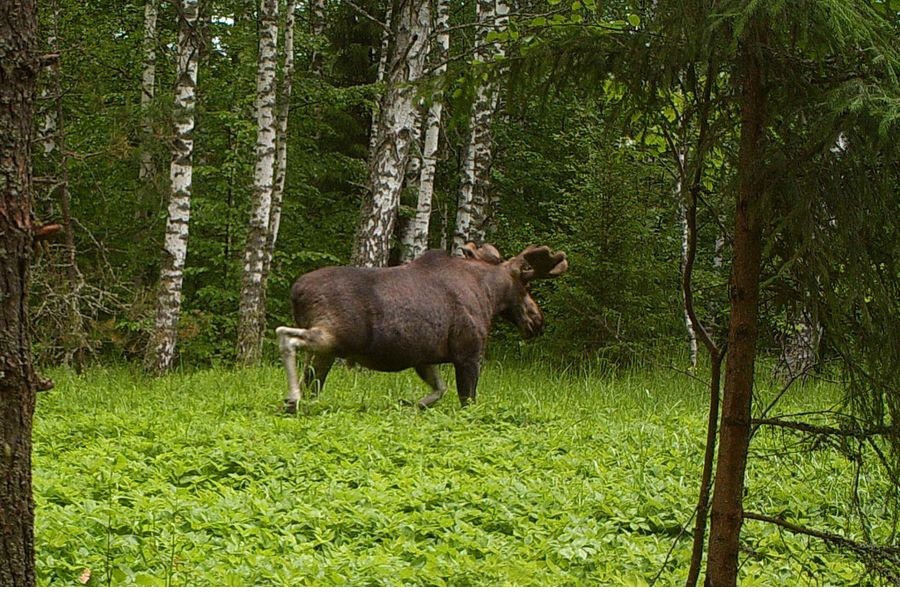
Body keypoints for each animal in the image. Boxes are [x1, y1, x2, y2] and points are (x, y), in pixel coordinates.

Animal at [276, 240, 568, 412]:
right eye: (526, 283)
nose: (537, 321)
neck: (488, 295)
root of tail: (296, 292)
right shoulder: (469, 352)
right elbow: (468, 399)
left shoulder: (423, 357)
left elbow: (439, 388)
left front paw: (414, 403)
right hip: (337, 336)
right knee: (286, 337)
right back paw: (292, 396)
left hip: (327, 351)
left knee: (312, 379)